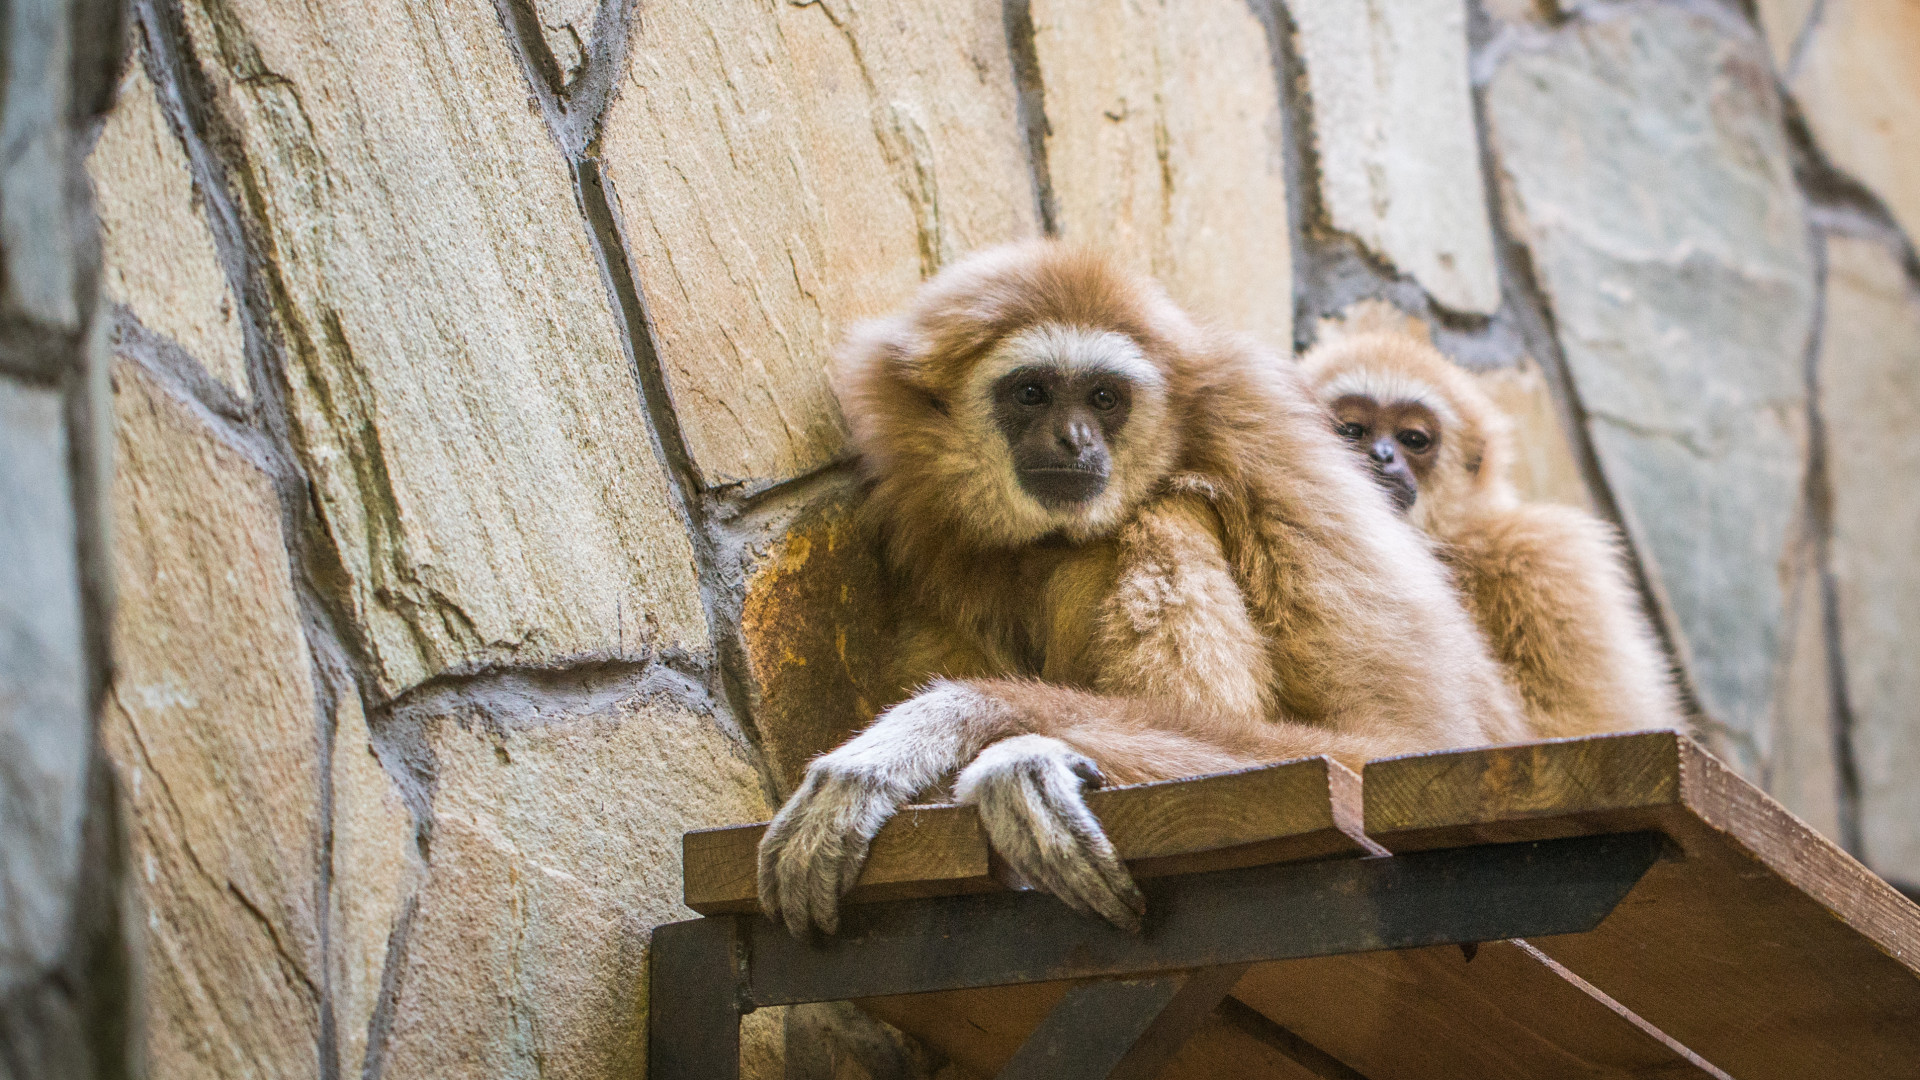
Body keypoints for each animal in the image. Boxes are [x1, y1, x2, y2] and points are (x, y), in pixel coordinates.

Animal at [757, 242, 1529, 938]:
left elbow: (1387, 741)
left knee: (1164, 511)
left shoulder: (1273, 452)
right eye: (1032, 392)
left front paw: (959, 733)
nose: (1074, 439)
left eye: (1104, 397)